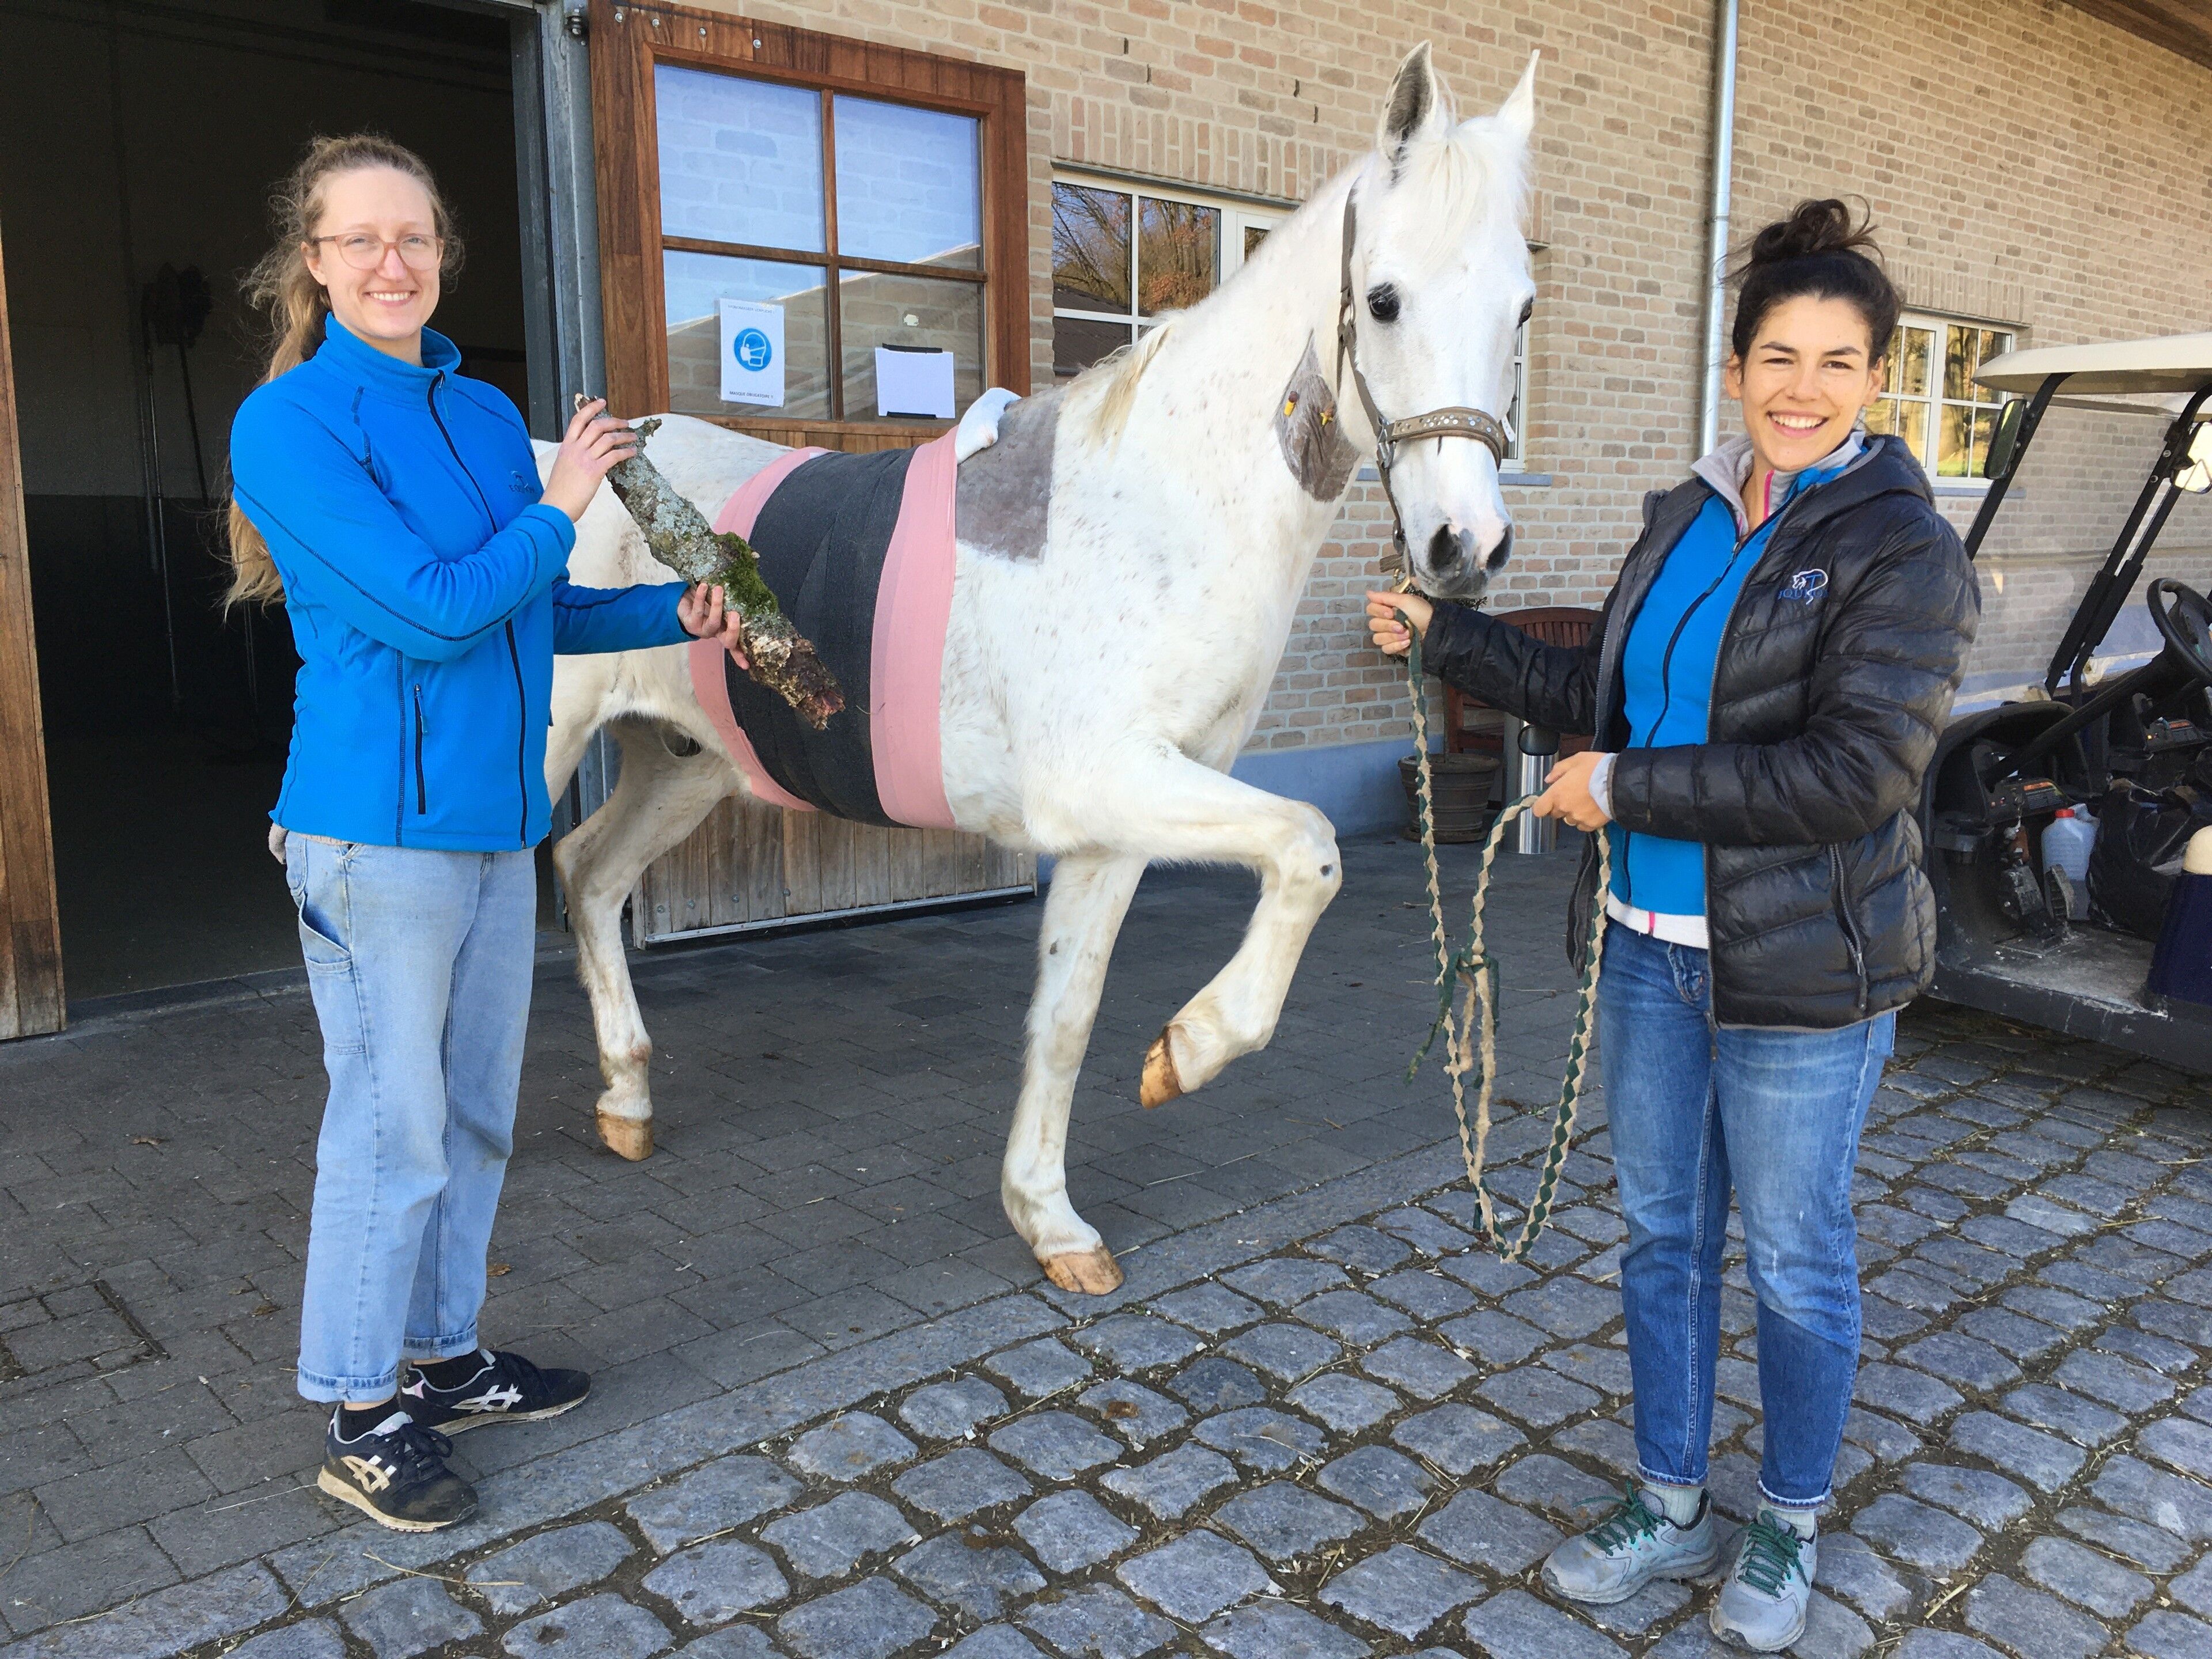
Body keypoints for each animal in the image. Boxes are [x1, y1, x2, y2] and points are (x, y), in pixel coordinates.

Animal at [542, 43, 1538, 1296]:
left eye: (1523, 307)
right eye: (1387, 298)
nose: (1468, 549)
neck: (1157, 507)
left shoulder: (1120, 823)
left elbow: (1067, 1016)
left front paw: (1054, 1219)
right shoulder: (1109, 782)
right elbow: (1312, 850)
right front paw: (1194, 1049)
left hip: (684, 762)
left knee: (589, 873)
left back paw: (626, 1100)